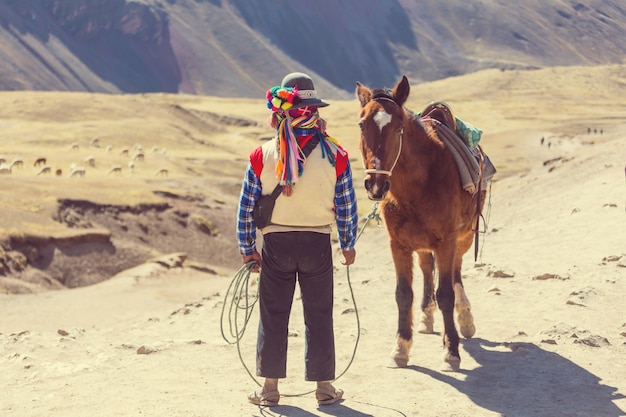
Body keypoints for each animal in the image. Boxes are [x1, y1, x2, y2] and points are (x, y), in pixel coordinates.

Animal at [354, 75, 486, 370]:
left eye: (399, 127)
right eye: (361, 124)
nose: (375, 185)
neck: (418, 185)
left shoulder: (447, 241)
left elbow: (446, 293)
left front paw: (452, 351)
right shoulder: (398, 245)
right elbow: (403, 294)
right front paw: (401, 347)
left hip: (464, 235)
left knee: (456, 272)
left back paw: (465, 318)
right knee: (427, 267)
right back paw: (427, 316)